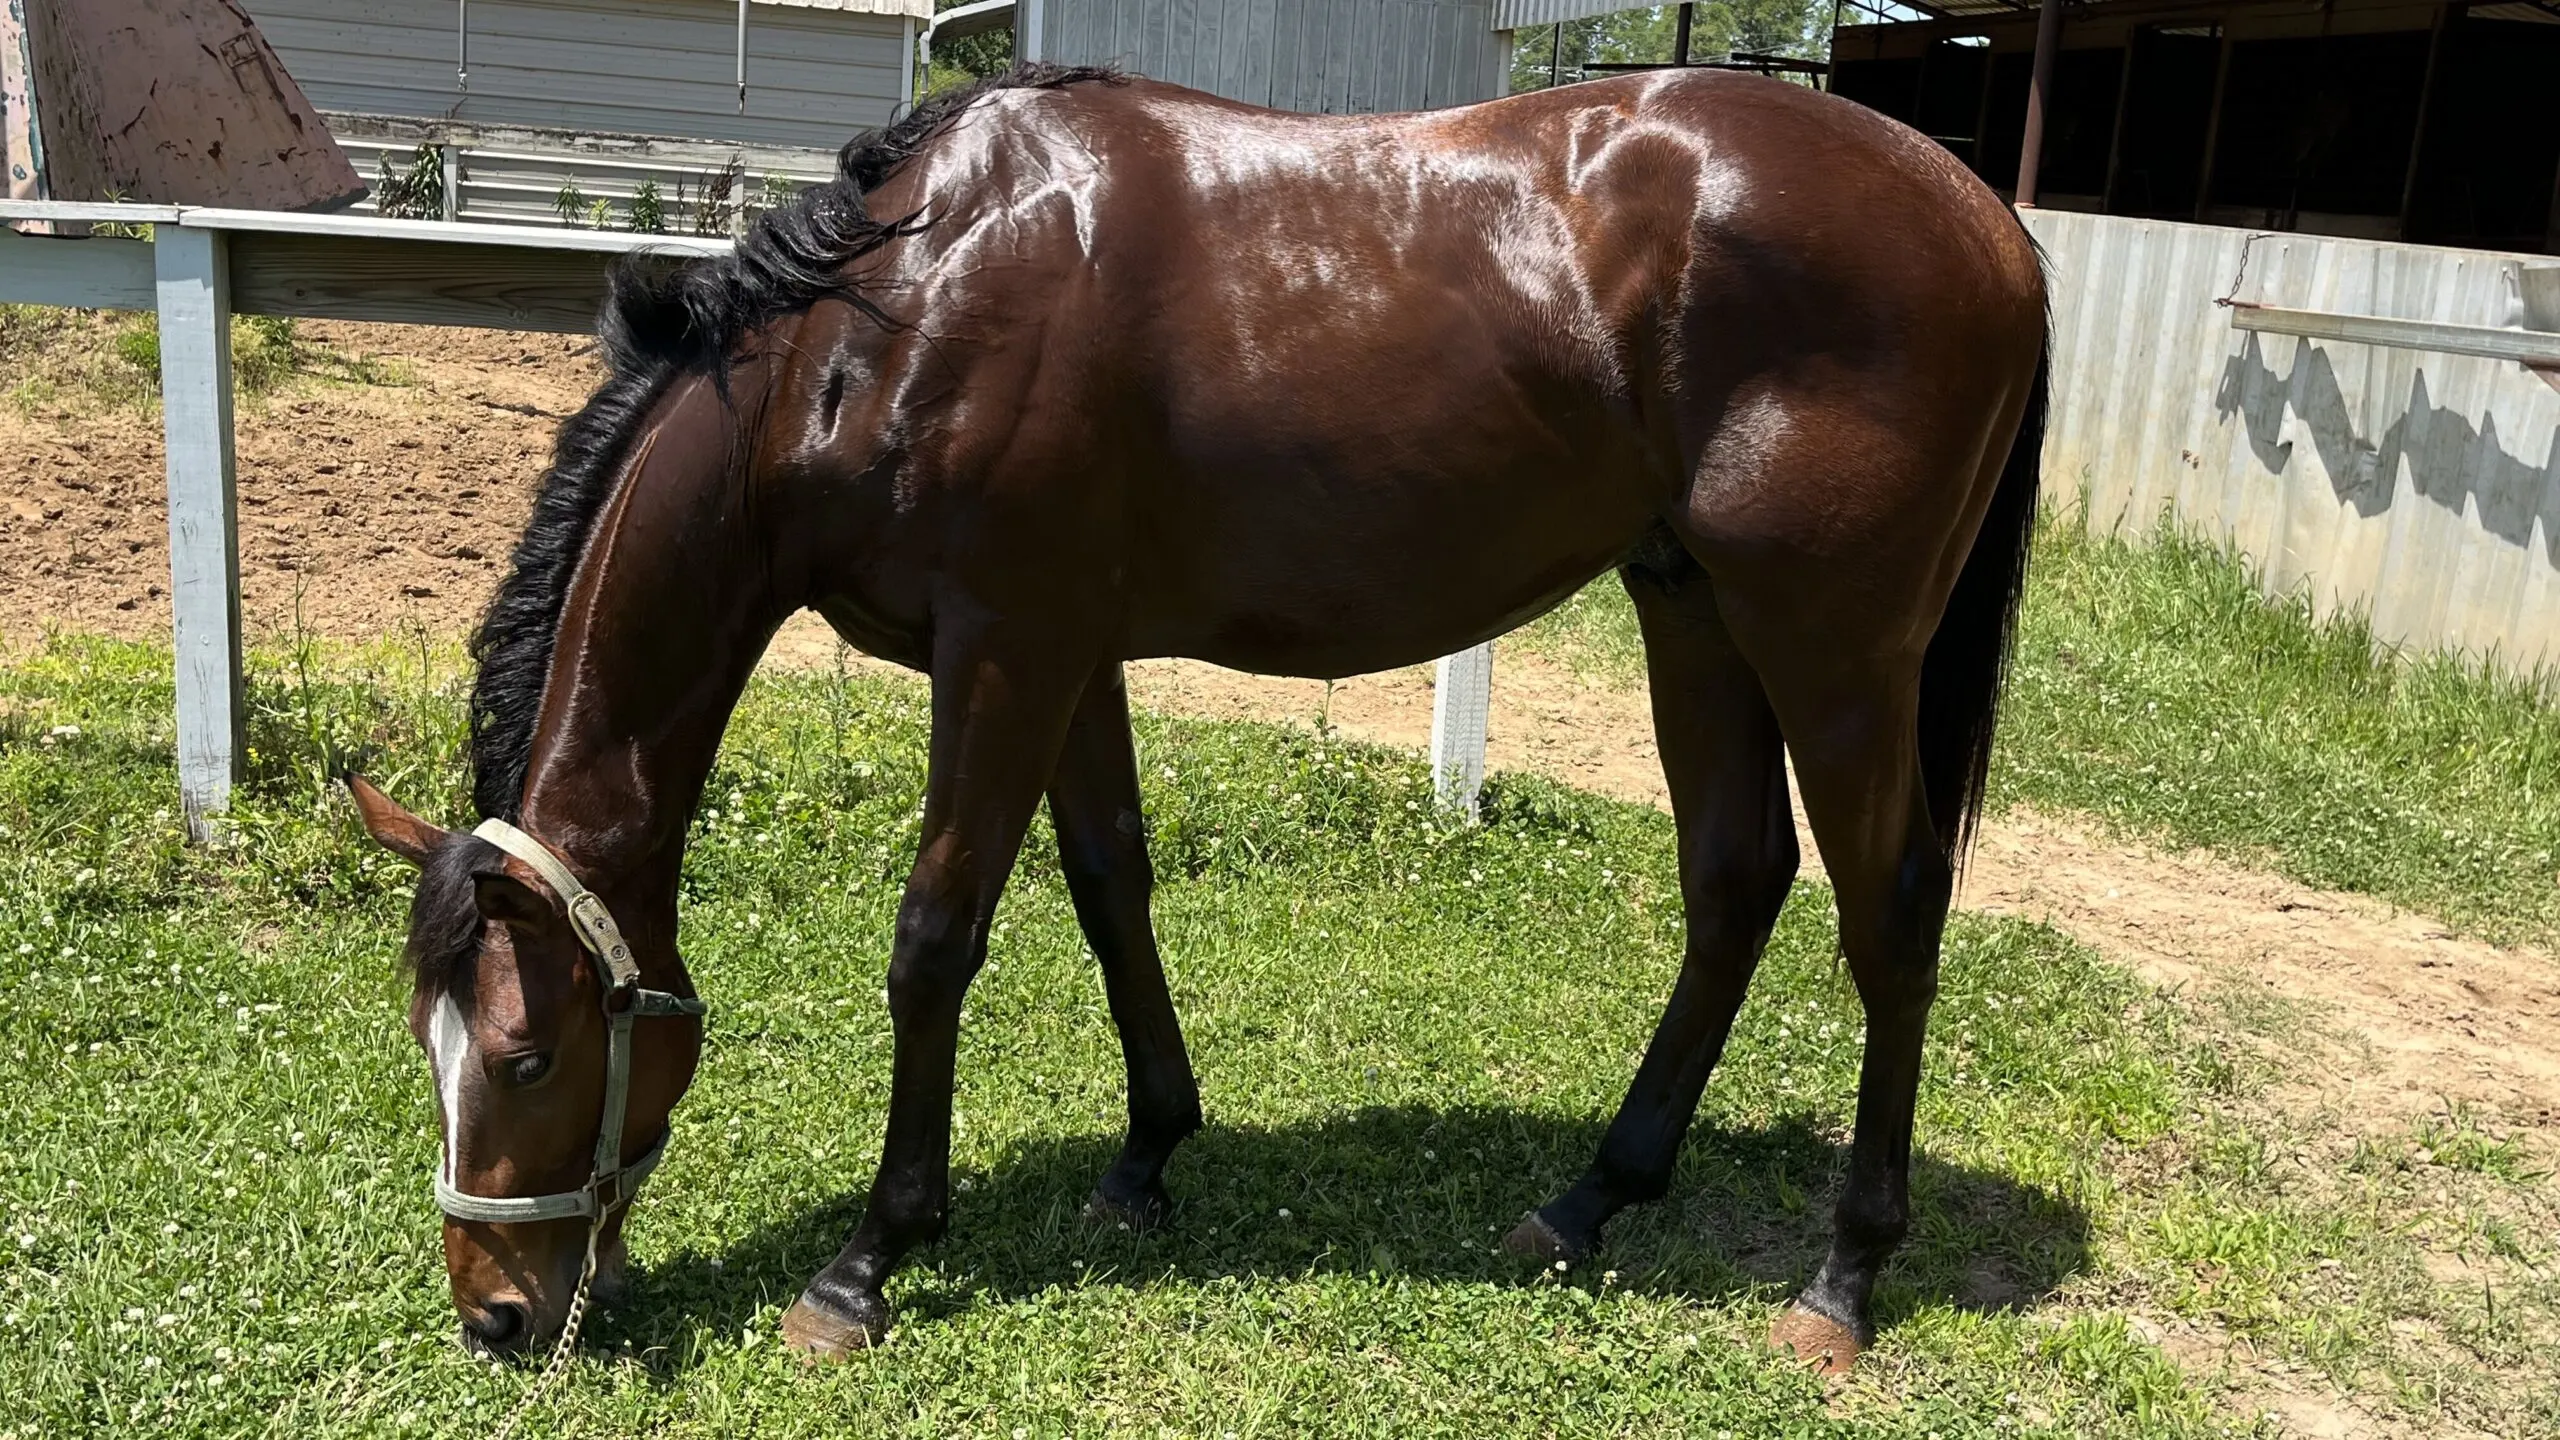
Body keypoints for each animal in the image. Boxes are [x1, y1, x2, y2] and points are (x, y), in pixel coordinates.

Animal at [350, 64, 2048, 1363]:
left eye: (523, 1057)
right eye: (426, 1043)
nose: (496, 1316)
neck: (892, 314)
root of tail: (1988, 220)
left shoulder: (1006, 651)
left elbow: (936, 934)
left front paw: (870, 1260)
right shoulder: (1066, 655)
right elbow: (1111, 881)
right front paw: (1148, 1152)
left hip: (1833, 646)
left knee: (1892, 913)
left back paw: (1843, 1277)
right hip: (1689, 602)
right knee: (1734, 879)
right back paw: (1591, 1198)